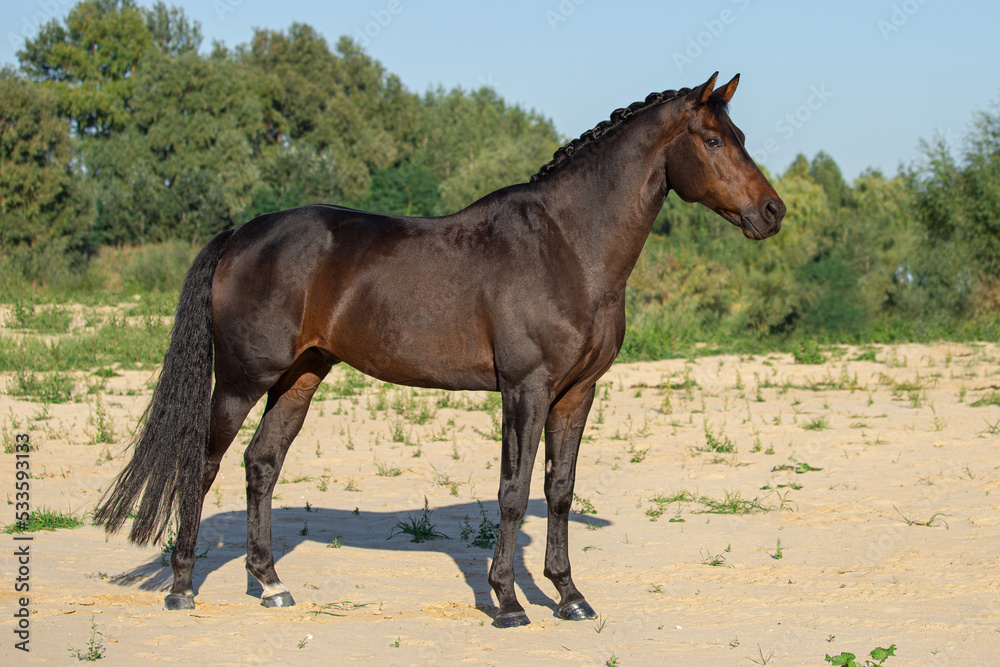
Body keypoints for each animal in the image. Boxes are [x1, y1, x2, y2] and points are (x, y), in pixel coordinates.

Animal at [95, 72, 784, 628]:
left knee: (260, 465)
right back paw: (183, 587)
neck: (567, 246)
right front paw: (506, 602)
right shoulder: (525, 389)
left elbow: (559, 491)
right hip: (241, 379)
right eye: (714, 141)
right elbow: (513, 491)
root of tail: (241, 234)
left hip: (300, 376)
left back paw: (270, 584)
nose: (772, 212)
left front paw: (569, 597)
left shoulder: (576, 394)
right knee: (203, 464)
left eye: (743, 133)